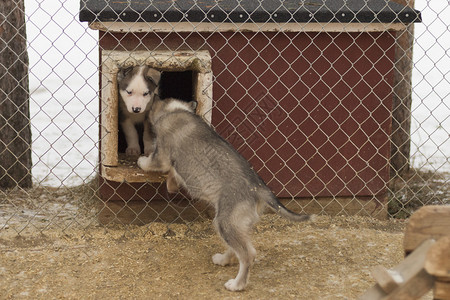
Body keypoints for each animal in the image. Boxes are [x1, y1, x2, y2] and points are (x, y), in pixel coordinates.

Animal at [137, 97, 312, 292]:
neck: (175, 110)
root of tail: (259, 188)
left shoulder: (161, 155)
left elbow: (150, 162)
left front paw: (141, 161)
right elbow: (172, 175)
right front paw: (171, 185)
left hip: (225, 222)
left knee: (248, 254)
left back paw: (237, 284)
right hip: (235, 224)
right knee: (237, 248)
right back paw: (223, 259)